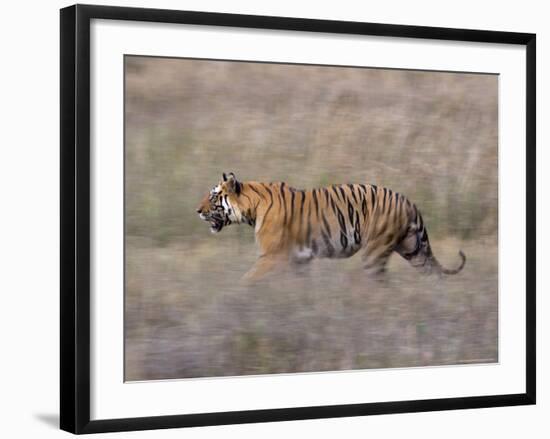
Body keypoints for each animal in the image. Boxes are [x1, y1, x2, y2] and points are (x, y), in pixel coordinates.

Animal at [198, 172, 466, 282]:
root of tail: (408, 201)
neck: (252, 208)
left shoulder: (271, 257)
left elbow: (247, 280)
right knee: (433, 274)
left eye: (213, 197)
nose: (197, 211)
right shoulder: (298, 260)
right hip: (412, 248)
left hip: (375, 251)